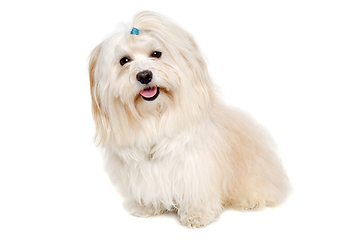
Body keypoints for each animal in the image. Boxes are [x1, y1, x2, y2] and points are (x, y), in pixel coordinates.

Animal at [89, 11, 290, 228]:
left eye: (156, 54)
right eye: (124, 60)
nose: (144, 75)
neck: (155, 118)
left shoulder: (196, 167)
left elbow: (196, 193)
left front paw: (196, 215)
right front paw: (147, 207)